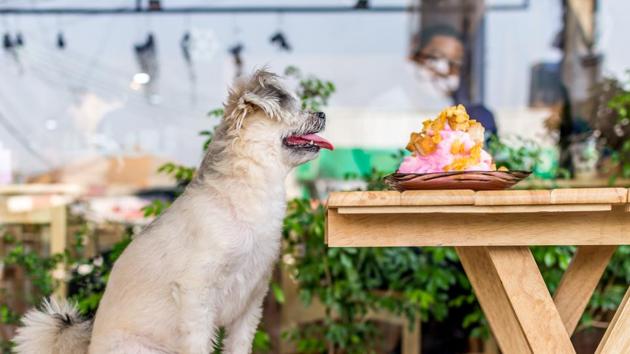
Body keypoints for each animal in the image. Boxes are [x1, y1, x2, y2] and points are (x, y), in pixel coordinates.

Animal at [12, 70, 336, 354]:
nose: (322, 114)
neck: (241, 196)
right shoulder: (197, 298)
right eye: (291, 108)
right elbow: (199, 345)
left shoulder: (249, 305)